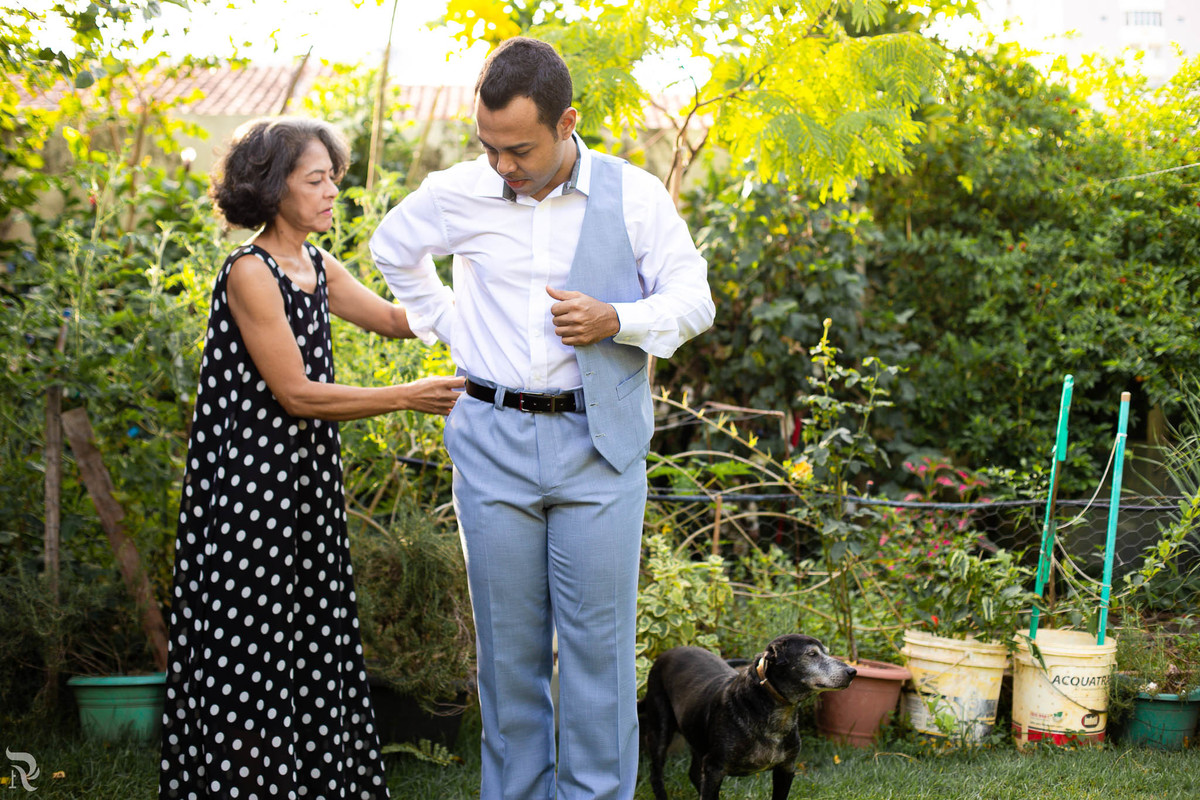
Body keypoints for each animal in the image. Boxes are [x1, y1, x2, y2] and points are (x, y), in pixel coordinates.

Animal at [639, 634, 856, 800]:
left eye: (826, 652)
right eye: (811, 654)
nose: (852, 671)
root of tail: (667, 653)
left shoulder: (786, 768)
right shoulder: (714, 768)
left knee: (693, 772)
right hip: (659, 729)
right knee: (656, 774)